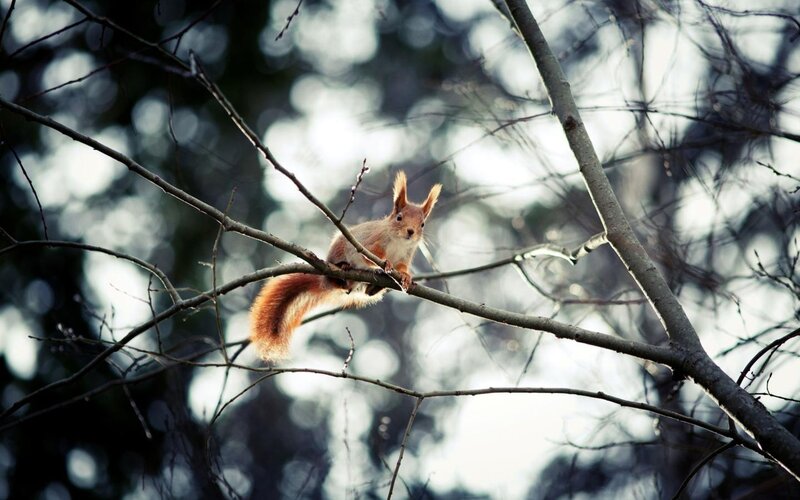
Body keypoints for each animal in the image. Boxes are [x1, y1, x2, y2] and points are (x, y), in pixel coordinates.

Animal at [250, 171, 442, 360]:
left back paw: (373, 287)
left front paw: (406, 278)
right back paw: (344, 267)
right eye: (399, 217)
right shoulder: (370, 243)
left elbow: (402, 268)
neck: (399, 242)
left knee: (365, 292)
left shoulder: (405, 256)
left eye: (422, 224)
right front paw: (385, 263)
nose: (411, 232)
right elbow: (371, 256)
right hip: (338, 252)